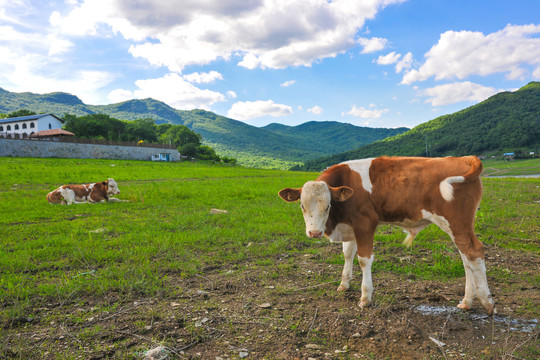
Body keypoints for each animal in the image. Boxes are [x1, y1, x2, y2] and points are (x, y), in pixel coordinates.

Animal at [280, 156, 496, 314]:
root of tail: (463, 158)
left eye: (327, 206)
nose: (314, 232)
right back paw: (466, 301)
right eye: (302, 206)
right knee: (466, 259)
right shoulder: (350, 226)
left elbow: (364, 259)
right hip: (459, 227)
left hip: (457, 222)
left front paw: (365, 298)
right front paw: (344, 284)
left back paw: (487, 302)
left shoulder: (365, 223)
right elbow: (348, 254)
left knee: (474, 252)